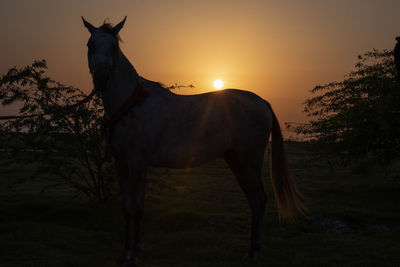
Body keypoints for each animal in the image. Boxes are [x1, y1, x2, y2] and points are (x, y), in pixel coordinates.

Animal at [82, 17, 306, 267]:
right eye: (90, 45)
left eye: (114, 47)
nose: (101, 79)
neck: (131, 105)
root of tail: (262, 102)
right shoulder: (121, 165)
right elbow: (127, 208)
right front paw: (125, 254)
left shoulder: (139, 165)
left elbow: (138, 208)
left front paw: (136, 253)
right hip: (236, 161)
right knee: (255, 200)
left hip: (249, 162)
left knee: (258, 200)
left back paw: (253, 254)